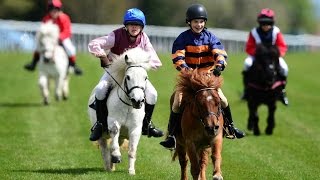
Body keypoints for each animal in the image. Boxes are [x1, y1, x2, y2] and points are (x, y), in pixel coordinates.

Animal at [87, 47, 152, 175]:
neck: (128, 106)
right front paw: (116, 156)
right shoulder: (113, 122)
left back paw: (112, 166)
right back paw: (109, 166)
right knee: (104, 149)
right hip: (101, 134)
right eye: (128, 77)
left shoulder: (135, 129)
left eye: (145, 77)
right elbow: (114, 140)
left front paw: (131, 171)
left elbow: (132, 150)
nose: (137, 101)